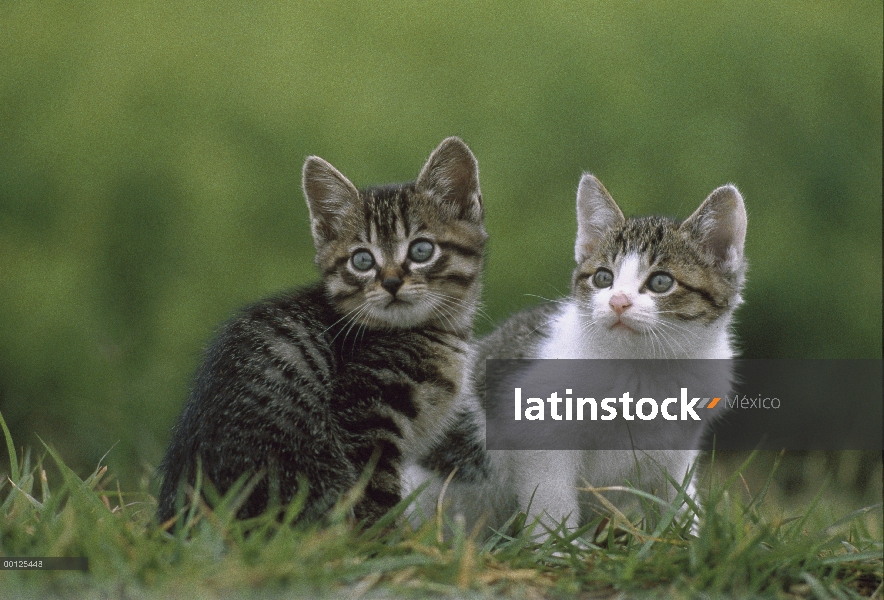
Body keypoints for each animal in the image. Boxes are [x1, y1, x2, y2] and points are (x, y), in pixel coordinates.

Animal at [160, 137, 490, 524]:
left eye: (422, 250)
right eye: (362, 260)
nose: (391, 282)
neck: (429, 332)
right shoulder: (364, 418)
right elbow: (376, 498)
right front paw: (392, 539)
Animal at [406, 173, 744, 540]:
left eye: (661, 282)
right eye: (603, 278)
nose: (618, 302)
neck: (641, 367)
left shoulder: (680, 442)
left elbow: (676, 492)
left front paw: (688, 537)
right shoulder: (539, 430)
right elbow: (551, 493)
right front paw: (555, 542)